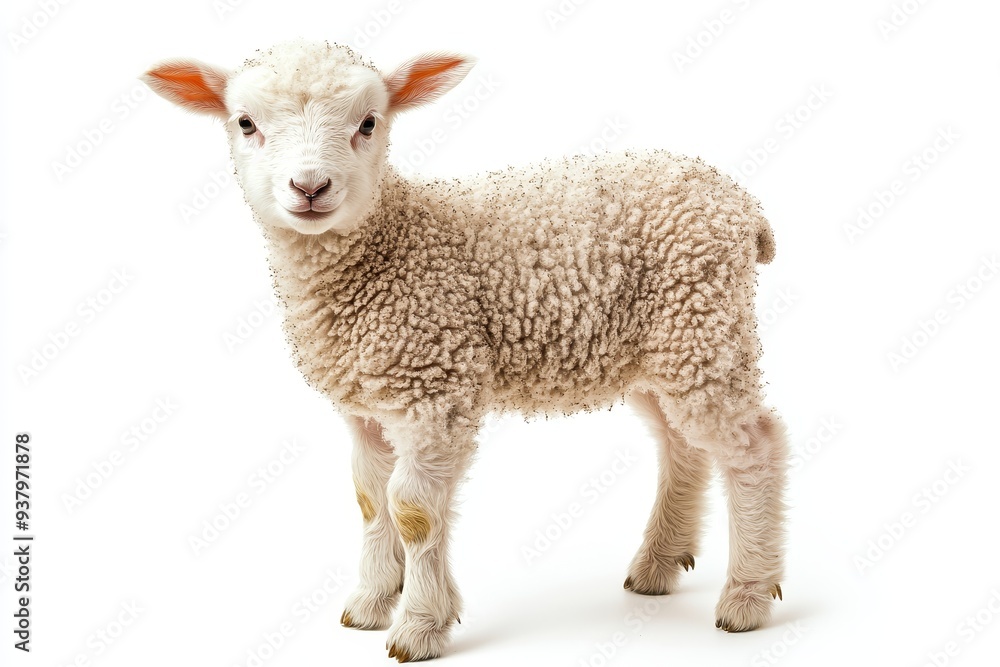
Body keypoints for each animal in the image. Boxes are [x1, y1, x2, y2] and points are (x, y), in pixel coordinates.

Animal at [143, 39, 789, 662]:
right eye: (246, 123)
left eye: (369, 123)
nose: (309, 188)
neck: (388, 246)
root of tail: (742, 208)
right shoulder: (365, 406)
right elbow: (370, 500)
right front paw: (371, 603)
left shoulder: (435, 387)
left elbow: (412, 510)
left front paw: (420, 625)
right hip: (661, 350)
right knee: (681, 443)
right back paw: (658, 564)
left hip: (701, 323)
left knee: (753, 444)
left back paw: (747, 596)